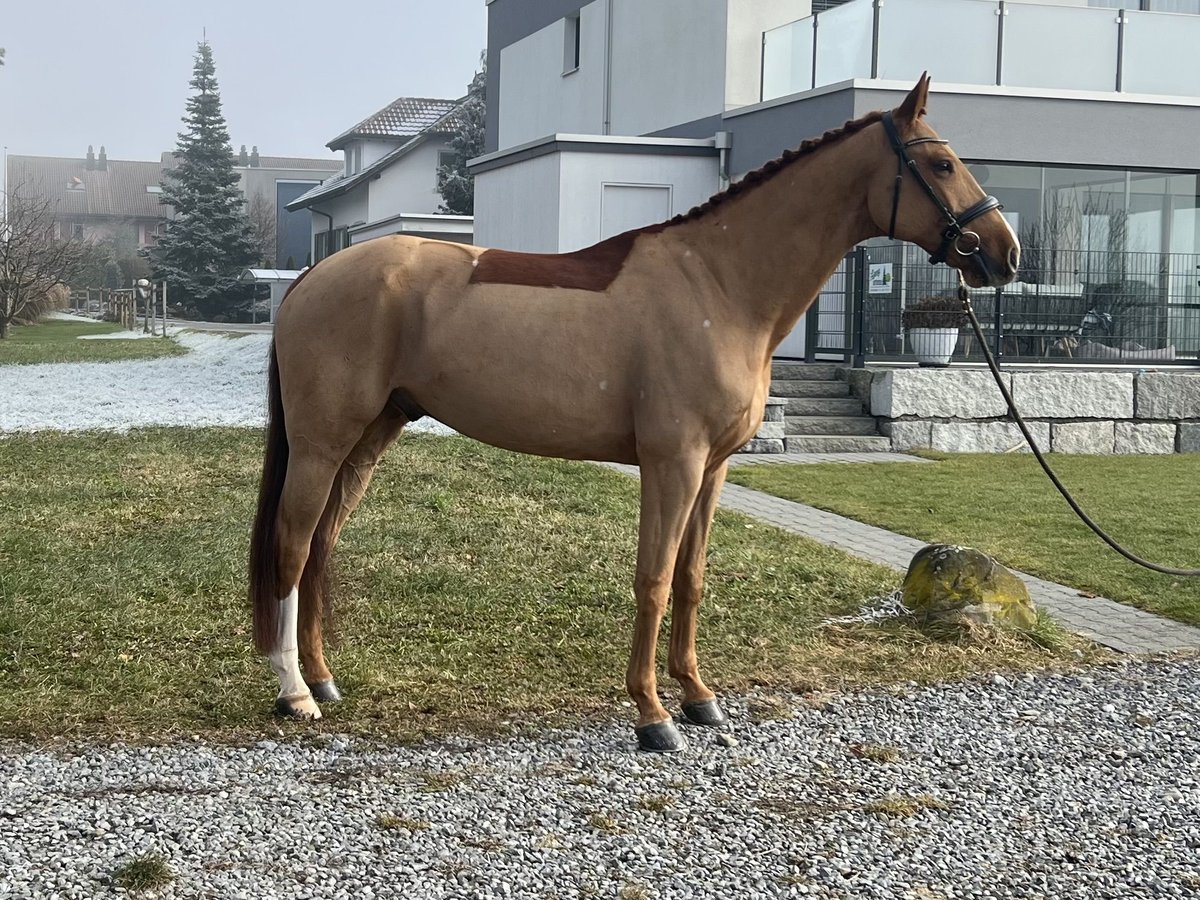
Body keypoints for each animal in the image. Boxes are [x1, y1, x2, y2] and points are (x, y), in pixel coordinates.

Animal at [248, 77, 1017, 753]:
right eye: (942, 163)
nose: (1004, 254)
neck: (719, 283)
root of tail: (313, 277)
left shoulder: (713, 469)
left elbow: (690, 577)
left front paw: (699, 696)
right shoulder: (672, 462)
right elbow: (652, 578)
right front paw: (653, 715)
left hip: (370, 436)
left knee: (321, 546)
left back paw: (323, 679)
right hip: (323, 442)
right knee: (292, 545)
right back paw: (295, 695)